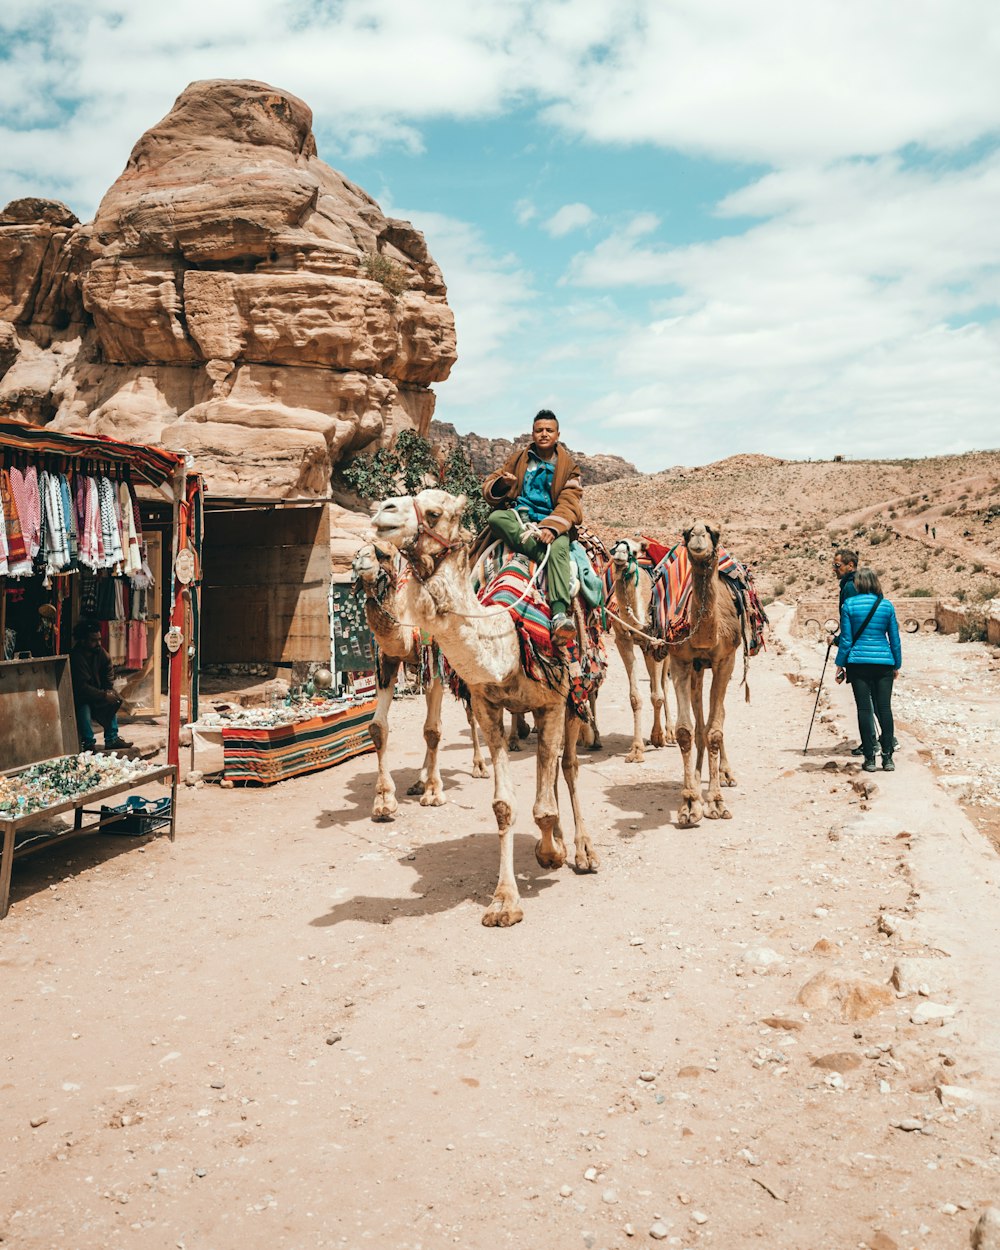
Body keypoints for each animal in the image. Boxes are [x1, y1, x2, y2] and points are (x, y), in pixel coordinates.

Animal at [352, 545, 487, 820]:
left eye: (382, 553)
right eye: (357, 551)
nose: (360, 558)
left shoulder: (433, 658)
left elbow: (432, 730)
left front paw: (434, 793)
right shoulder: (389, 661)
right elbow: (378, 728)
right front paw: (384, 799)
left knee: (470, 714)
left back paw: (479, 766)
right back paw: (419, 780)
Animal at [370, 487, 597, 930]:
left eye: (434, 512)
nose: (382, 511)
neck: (507, 639)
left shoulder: (554, 701)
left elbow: (546, 798)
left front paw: (550, 854)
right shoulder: (487, 705)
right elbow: (505, 806)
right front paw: (505, 900)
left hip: (576, 695)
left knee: (568, 766)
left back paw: (582, 850)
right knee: (552, 770)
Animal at [605, 537, 675, 760]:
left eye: (634, 552)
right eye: (615, 547)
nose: (620, 555)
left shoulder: (656, 642)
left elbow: (658, 695)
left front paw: (658, 737)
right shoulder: (623, 640)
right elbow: (636, 697)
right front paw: (636, 749)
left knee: (664, 684)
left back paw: (670, 733)